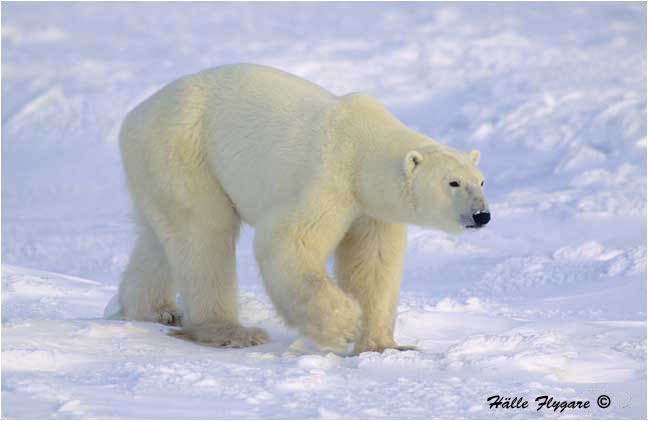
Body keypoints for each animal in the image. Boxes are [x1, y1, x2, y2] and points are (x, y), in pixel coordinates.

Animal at [108, 63, 490, 354]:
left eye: (482, 180)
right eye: (453, 183)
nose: (482, 215)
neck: (362, 147)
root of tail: (133, 117)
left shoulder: (372, 210)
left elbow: (373, 264)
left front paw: (385, 346)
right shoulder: (329, 179)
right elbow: (288, 241)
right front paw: (344, 323)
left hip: (158, 167)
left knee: (160, 237)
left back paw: (154, 311)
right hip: (185, 149)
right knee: (204, 232)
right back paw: (231, 331)